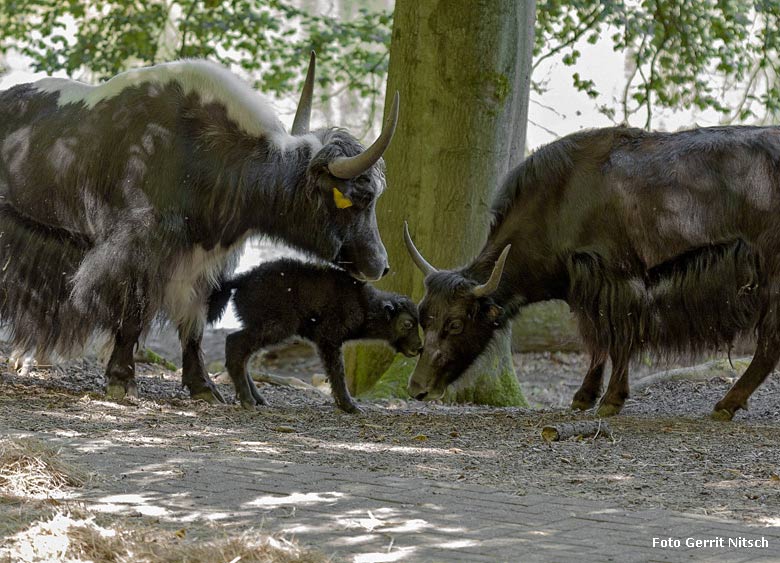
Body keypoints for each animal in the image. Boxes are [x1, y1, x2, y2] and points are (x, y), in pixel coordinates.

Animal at [207, 260, 420, 414]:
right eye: (407, 323)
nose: (418, 347)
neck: (364, 304)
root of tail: (242, 279)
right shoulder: (329, 340)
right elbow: (337, 372)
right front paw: (351, 407)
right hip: (275, 327)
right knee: (234, 343)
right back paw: (248, 401)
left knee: (243, 354)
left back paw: (258, 399)